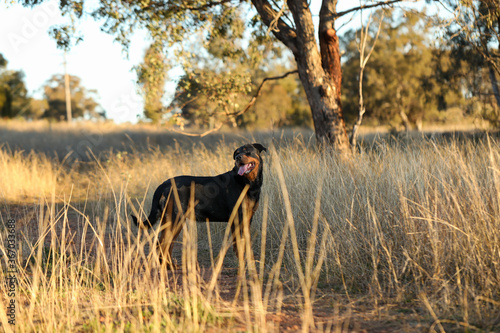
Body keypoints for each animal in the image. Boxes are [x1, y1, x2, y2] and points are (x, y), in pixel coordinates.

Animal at [131, 143, 268, 268]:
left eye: (247, 151)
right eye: (237, 153)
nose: (238, 158)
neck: (247, 182)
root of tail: (164, 183)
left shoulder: (247, 219)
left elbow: (247, 243)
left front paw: (251, 262)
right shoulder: (237, 219)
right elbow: (239, 245)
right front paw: (242, 264)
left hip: (172, 220)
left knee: (166, 244)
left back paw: (170, 266)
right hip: (175, 219)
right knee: (163, 244)